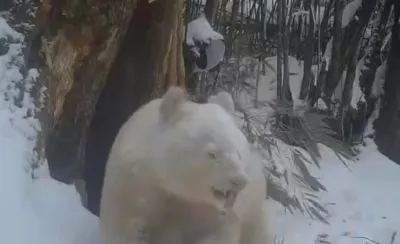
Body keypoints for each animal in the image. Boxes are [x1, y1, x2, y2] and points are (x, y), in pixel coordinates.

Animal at [99, 86, 274, 243]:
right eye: (212, 153)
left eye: (238, 153)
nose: (238, 181)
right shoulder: (132, 182)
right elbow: (123, 224)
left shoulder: (216, 214)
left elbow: (216, 235)